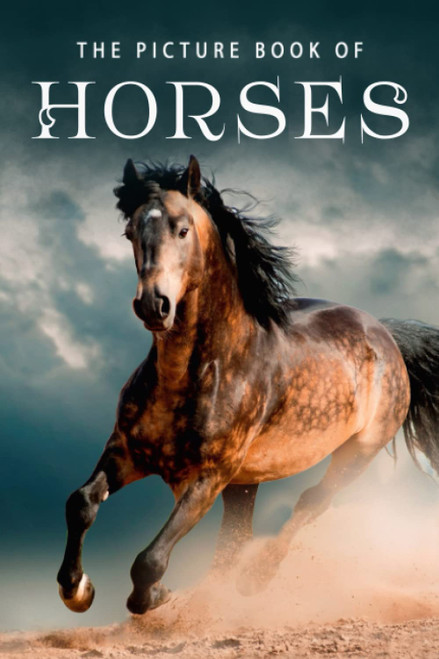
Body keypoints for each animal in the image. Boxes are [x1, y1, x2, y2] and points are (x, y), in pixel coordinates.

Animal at [57, 155, 439, 615]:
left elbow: (149, 560)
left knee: (311, 502)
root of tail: (386, 335)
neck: (195, 374)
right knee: (235, 539)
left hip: (357, 453)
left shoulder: (208, 476)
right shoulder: (127, 451)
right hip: (245, 482)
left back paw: (254, 580)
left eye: (182, 230)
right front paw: (77, 589)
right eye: (130, 232)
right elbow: (80, 503)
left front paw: (156, 596)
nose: (153, 305)